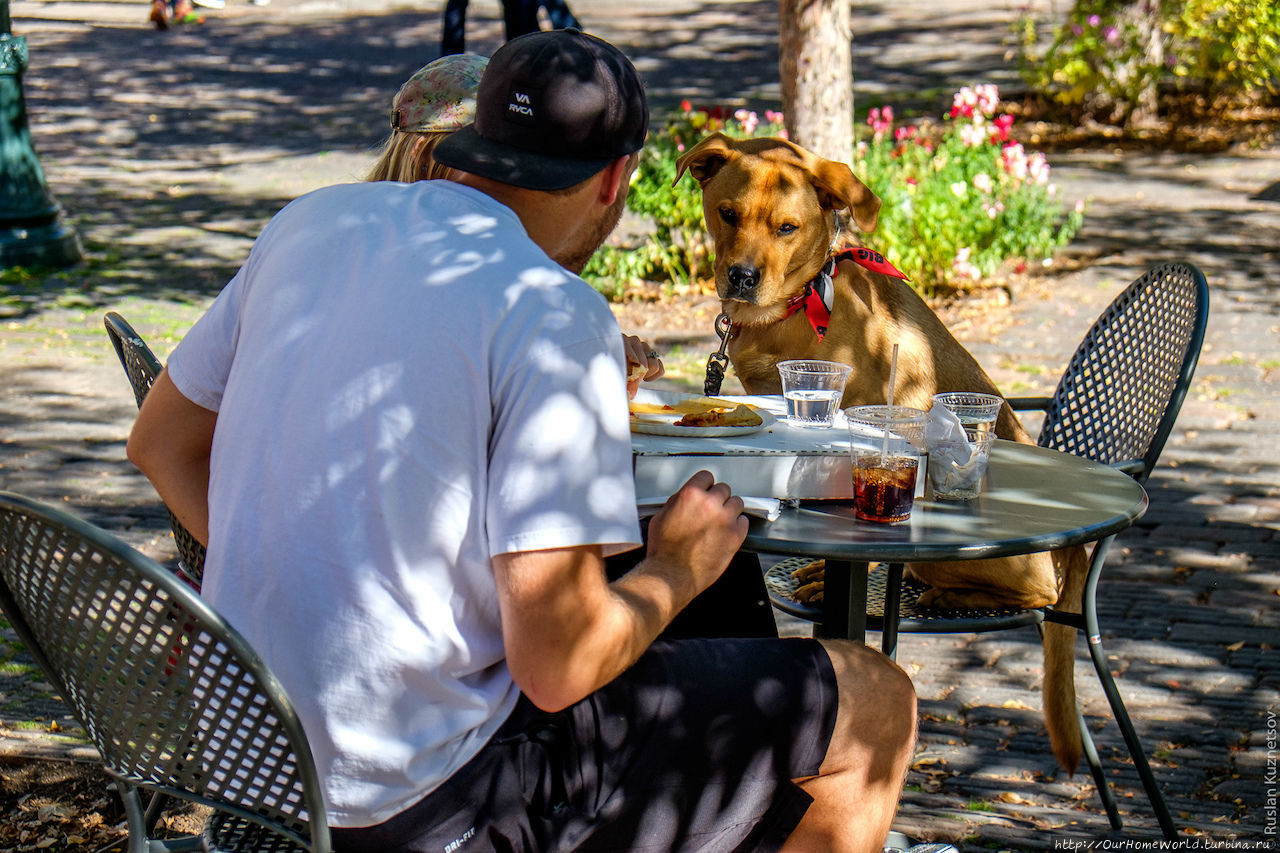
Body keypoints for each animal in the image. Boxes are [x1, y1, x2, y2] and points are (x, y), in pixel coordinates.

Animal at [670, 131, 1090, 768]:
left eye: (787, 227)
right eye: (727, 214)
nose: (740, 277)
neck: (798, 307)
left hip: (971, 565)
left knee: (1034, 594)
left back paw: (945, 592)